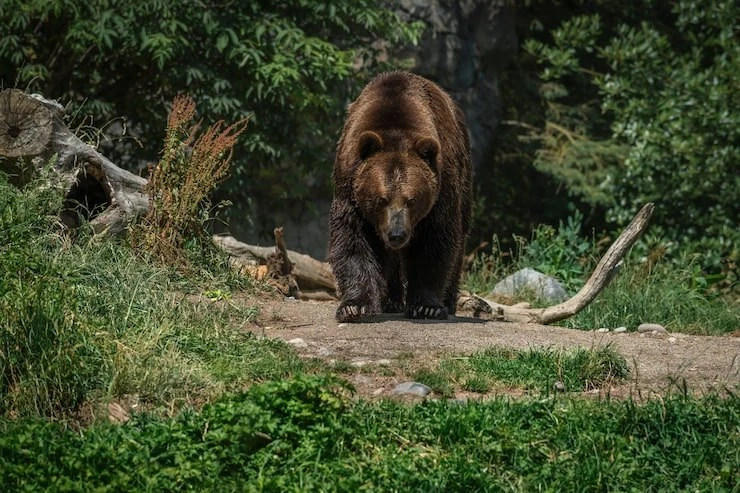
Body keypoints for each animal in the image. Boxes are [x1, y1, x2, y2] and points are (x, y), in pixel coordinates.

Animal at [327, 71, 472, 322]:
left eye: (412, 200)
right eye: (381, 199)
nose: (397, 234)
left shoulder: (442, 188)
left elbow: (435, 242)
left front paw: (427, 307)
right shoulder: (349, 184)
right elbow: (352, 239)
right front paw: (355, 306)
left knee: (459, 239)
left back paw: (447, 301)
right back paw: (391, 300)